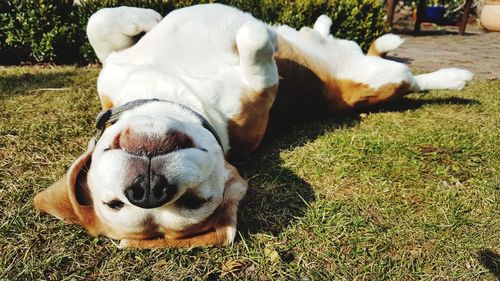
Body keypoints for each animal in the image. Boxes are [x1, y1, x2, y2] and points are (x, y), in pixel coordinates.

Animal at [34, 3, 472, 246]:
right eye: (196, 202)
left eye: (113, 202)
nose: (147, 189)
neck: (173, 92)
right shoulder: (262, 85)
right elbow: (256, 41)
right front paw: (258, 31)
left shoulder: (113, 67)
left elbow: (97, 21)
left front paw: (149, 16)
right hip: (381, 80)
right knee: (412, 81)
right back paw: (454, 77)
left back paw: (325, 25)